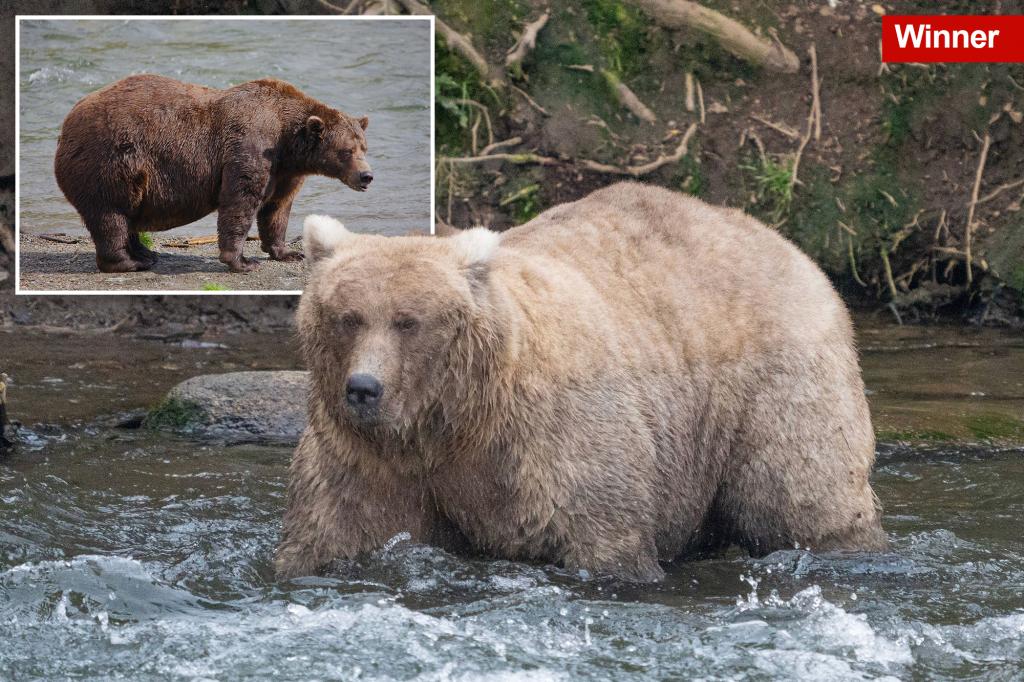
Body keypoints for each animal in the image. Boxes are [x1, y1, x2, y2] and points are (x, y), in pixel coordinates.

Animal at [52, 75, 372, 272]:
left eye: (363, 147)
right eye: (346, 151)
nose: (366, 176)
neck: (287, 141)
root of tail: (66, 124)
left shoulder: (284, 171)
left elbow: (277, 208)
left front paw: (288, 252)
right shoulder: (251, 145)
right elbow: (240, 199)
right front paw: (241, 261)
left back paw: (146, 253)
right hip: (110, 160)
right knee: (111, 214)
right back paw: (129, 262)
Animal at [274, 180, 888, 577]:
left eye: (408, 320)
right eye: (347, 316)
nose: (363, 388)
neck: (452, 419)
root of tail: (787, 245)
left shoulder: (549, 438)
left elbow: (601, 534)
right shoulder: (369, 457)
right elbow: (334, 530)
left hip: (773, 384)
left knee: (801, 494)